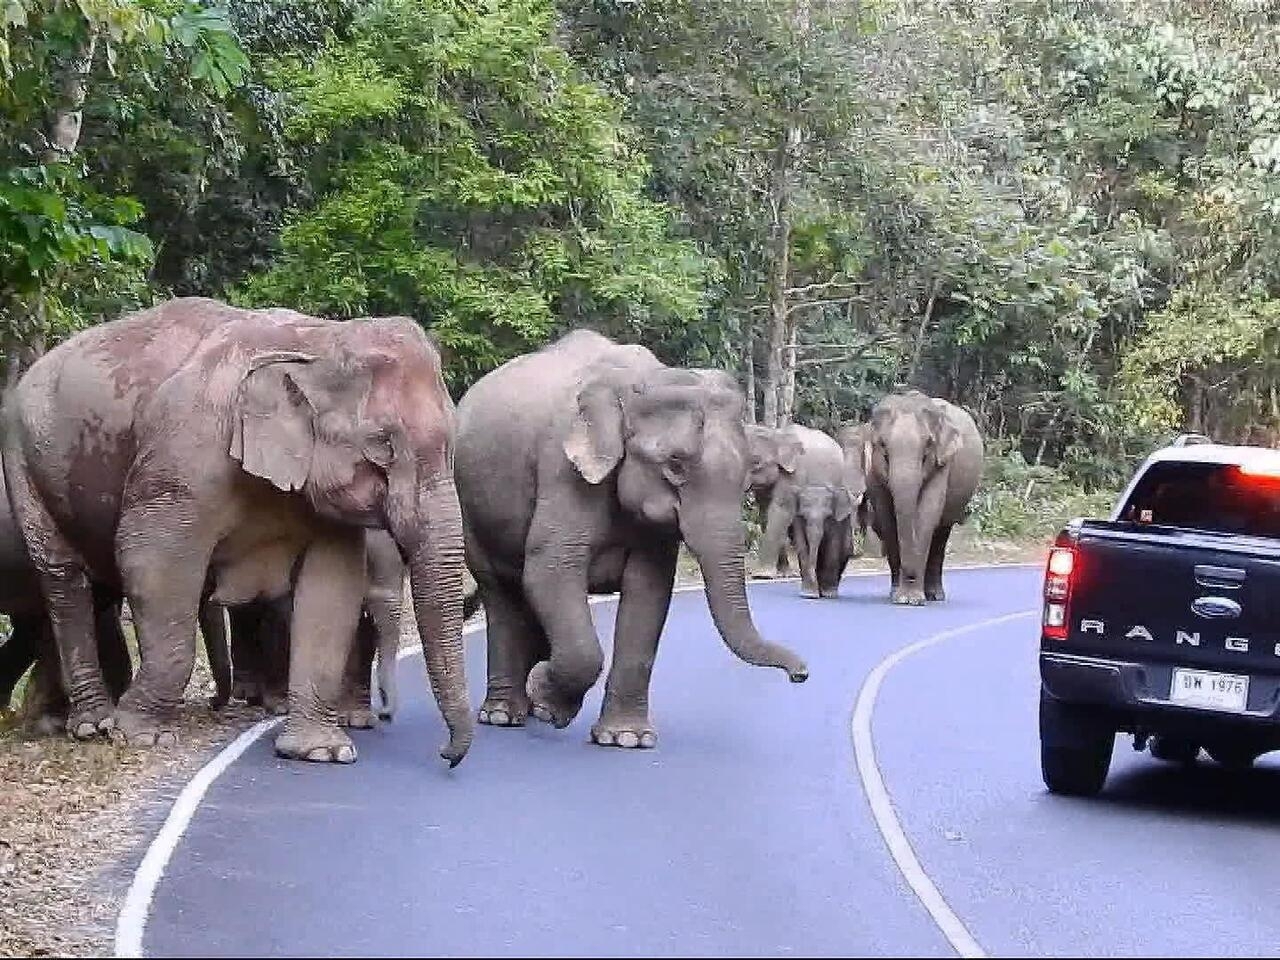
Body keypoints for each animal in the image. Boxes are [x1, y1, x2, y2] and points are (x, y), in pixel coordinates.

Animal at [2, 299, 473, 768]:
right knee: (65, 581)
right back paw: (90, 724)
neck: (316, 341)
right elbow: (152, 560)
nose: (447, 756)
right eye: (383, 445)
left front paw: (321, 750)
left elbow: (332, 586)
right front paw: (141, 736)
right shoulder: (187, 456)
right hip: (25, 462)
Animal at [455, 330, 803, 752]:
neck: (637, 382)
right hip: (470, 511)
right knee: (501, 590)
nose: (801, 675)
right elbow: (551, 571)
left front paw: (626, 738)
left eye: (747, 475)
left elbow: (649, 589)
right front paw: (549, 702)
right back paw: (503, 715)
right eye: (675, 465)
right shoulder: (561, 469)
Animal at [742, 424, 860, 599]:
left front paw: (761, 575)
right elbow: (766, 514)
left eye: (756, 462)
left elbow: (780, 512)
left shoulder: (795, 475)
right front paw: (779, 574)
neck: (776, 435)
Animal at [855, 391, 983, 604]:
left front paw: (913, 599)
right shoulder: (873, 471)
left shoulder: (942, 463)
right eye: (883, 445)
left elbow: (927, 514)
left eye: (929, 445)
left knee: (940, 537)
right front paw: (899, 597)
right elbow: (887, 519)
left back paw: (935, 595)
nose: (910, 574)